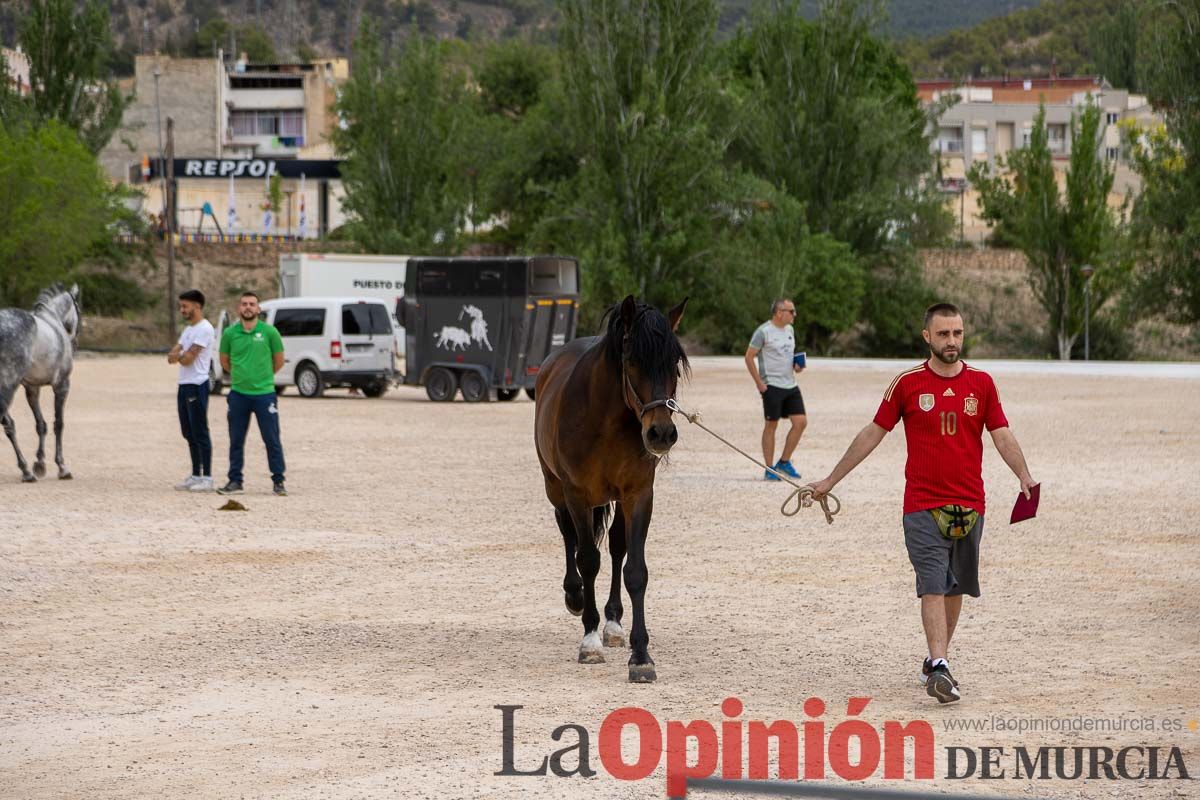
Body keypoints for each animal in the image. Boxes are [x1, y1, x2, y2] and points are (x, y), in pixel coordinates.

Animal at [0, 281, 81, 482]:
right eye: (78, 308)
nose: (75, 343)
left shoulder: (32, 388)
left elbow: (41, 425)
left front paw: (39, 464)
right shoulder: (62, 385)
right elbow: (58, 423)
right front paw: (62, 467)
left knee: (9, 426)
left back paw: (26, 471)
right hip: (8, 385)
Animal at [532, 293, 686, 681]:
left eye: (675, 366)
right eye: (632, 361)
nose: (661, 433)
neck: (606, 420)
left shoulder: (639, 495)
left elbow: (635, 570)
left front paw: (641, 655)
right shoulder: (577, 494)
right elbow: (587, 559)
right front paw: (589, 641)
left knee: (616, 548)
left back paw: (614, 623)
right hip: (556, 489)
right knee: (569, 536)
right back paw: (575, 597)